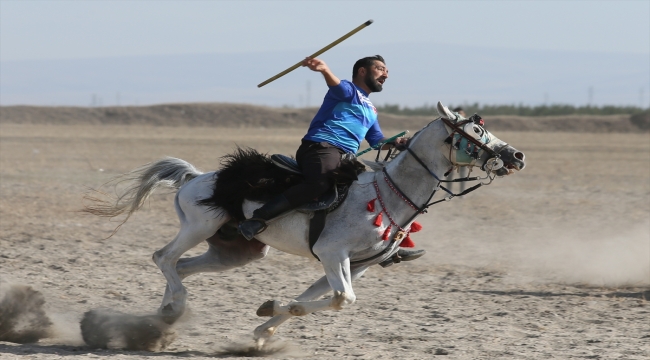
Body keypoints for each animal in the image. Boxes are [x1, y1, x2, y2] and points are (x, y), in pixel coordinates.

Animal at [83, 101, 524, 346]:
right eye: (476, 129)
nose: (517, 155)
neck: (387, 193)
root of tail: (197, 177)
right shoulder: (332, 254)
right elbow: (342, 299)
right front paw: (272, 312)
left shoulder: (355, 265)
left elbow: (322, 297)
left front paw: (267, 324)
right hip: (199, 226)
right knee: (163, 257)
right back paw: (171, 309)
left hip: (236, 252)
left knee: (183, 267)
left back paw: (164, 318)